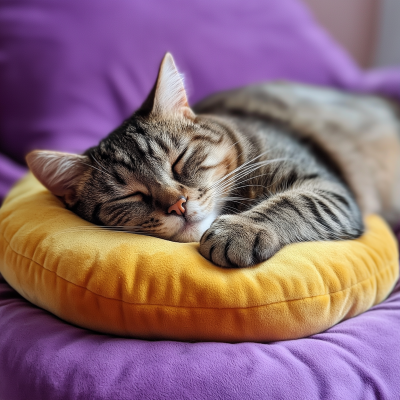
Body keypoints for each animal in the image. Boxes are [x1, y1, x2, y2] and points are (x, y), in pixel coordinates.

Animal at [26, 51, 400, 268]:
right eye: (130, 195)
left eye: (179, 160)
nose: (178, 205)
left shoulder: (326, 186)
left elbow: (293, 202)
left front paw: (240, 229)